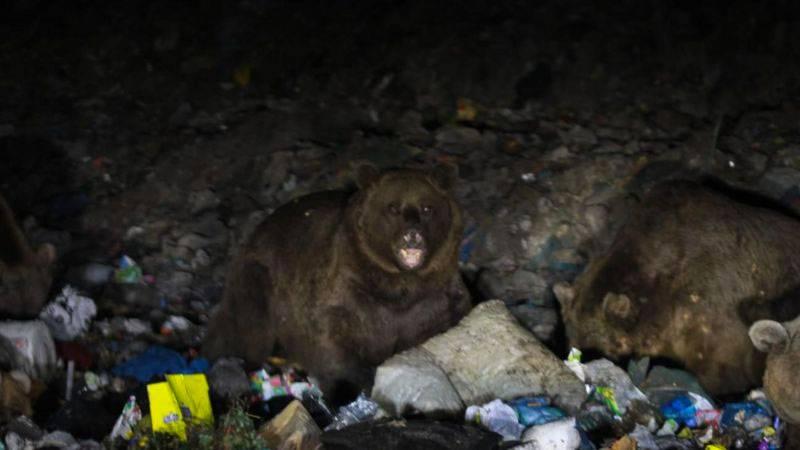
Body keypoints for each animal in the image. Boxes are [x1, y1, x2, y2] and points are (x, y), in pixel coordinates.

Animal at [203, 163, 472, 402]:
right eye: (393, 207)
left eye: (427, 208)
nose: (412, 235)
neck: (398, 282)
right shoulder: (343, 291)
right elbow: (332, 341)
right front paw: (346, 388)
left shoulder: (434, 298)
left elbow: (441, 321)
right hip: (257, 281)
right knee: (248, 331)